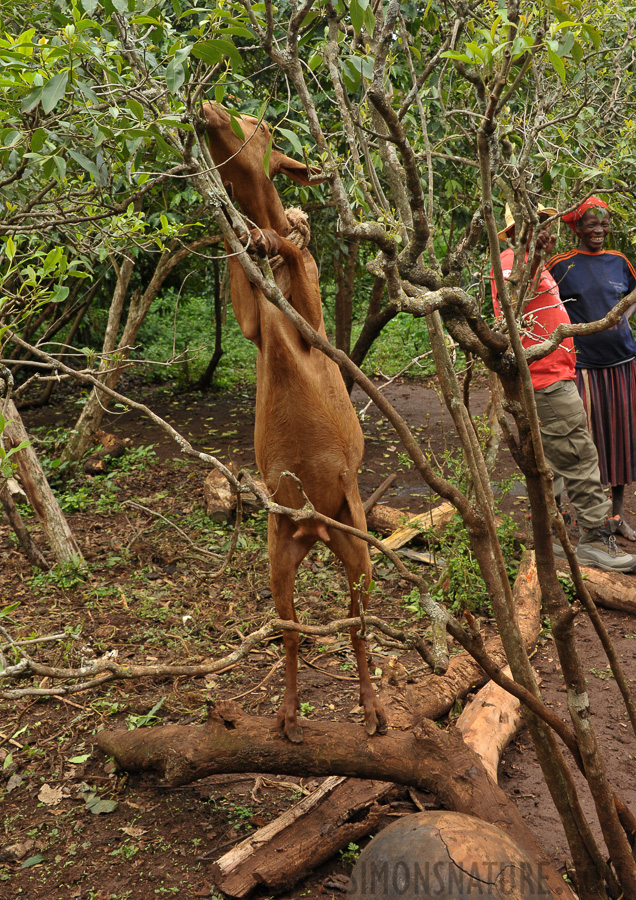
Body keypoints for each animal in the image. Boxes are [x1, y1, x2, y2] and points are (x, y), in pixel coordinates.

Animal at [201, 100, 388, 744]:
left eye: (259, 125)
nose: (206, 108)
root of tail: (315, 531)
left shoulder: (311, 321)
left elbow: (294, 248)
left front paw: (281, 231)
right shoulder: (253, 323)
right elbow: (243, 277)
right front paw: (241, 228)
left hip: (355, 537)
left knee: (357, 619)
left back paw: (372, 709)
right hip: (279, 547)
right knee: (289, 629)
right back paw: (286, 713)